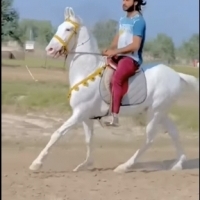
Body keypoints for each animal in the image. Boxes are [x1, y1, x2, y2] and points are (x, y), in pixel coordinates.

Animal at [28, 7, 199, 173]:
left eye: (68, 29)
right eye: (59, 27)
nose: (50, 49)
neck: (87, 70)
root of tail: (176, 75)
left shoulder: (79, 113)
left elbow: (57, 134)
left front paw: (36, 164)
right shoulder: (86, 116)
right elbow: (89, 140)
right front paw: (85, 164)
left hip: (155, 113)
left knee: (149, 139)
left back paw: (124, 166)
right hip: (161, 113)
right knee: (174, 133)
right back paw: (178, 164)